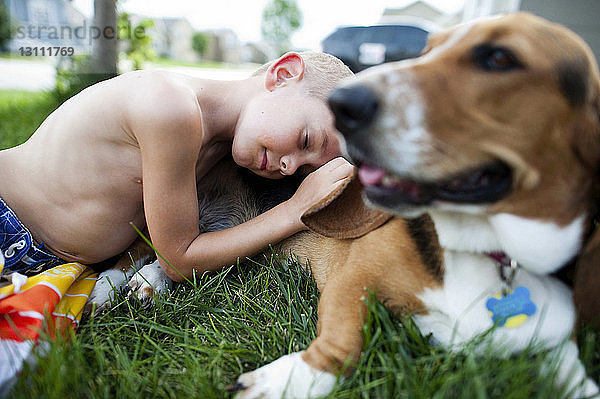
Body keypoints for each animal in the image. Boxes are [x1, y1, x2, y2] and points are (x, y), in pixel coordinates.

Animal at [231, 12, 600, 399]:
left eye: (500, 58)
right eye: (427, 52)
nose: (344, 104)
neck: (491, 251)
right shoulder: (353, 278)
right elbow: (343, 342)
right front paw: (290, 379)